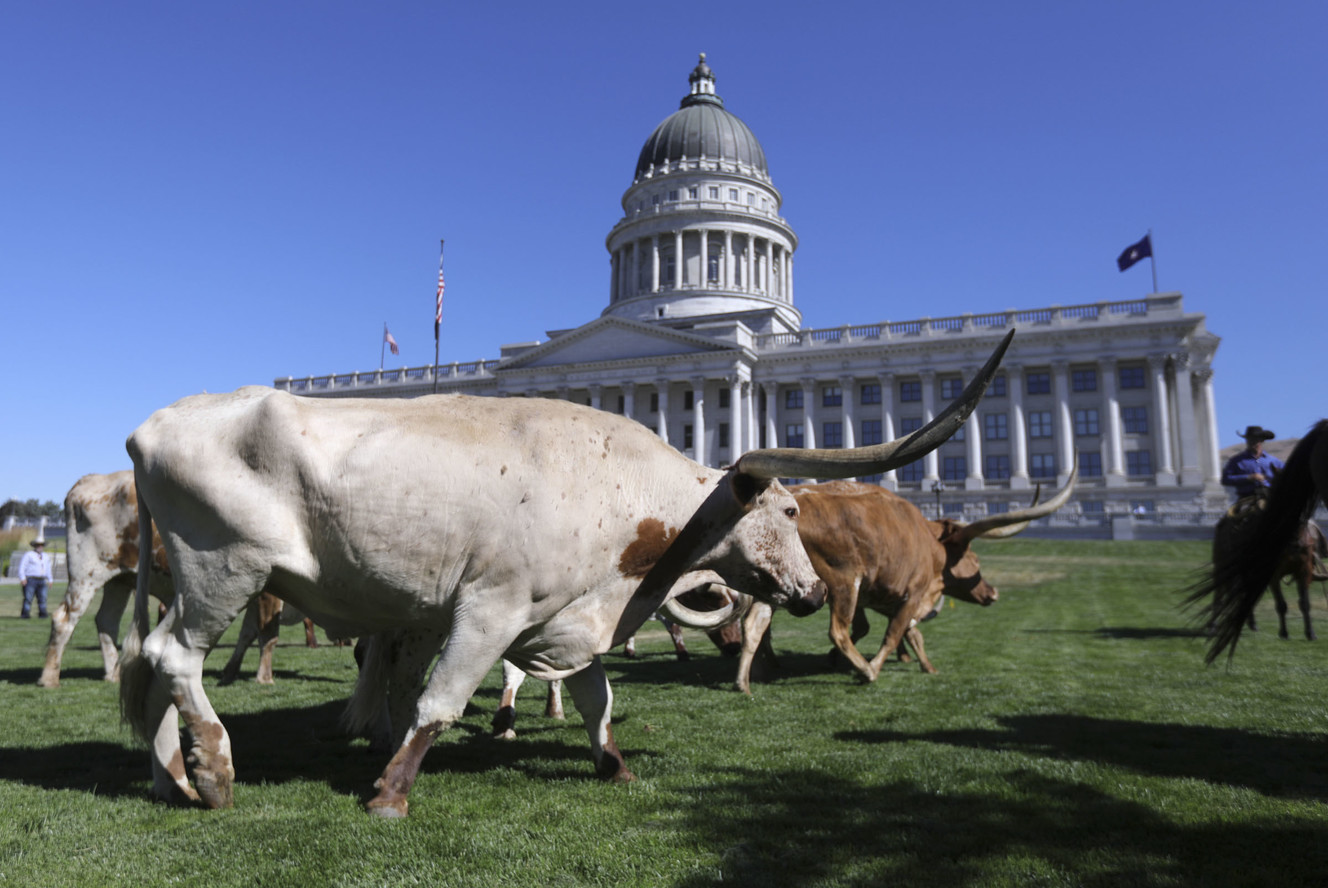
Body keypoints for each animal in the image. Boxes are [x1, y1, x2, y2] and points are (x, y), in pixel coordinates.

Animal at [41, 471, 313, 689]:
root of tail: (92, 478)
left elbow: (247, 634)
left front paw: (230, 673)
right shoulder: (270, 592)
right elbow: (268, 636)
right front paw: (264, 678)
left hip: (120, 579)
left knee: (107, 621)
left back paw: (113, 675)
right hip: (85, 574)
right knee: (63, 619)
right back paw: (49, 678)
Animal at [119, 330, 1010, 816]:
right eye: (791, 512)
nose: (816, 591)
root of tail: (152, 424)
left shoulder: (570, 616)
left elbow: (596, 700)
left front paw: (613, 764)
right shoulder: (488, 609)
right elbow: (438, 705)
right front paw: (389, 792)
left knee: (147, 665)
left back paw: (171, 780)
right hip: (224, 571)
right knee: (172, 658)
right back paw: (216, 771)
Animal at [734, 462, 1077, 692]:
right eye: (975, 560)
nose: (993, 593)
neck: (928, 542)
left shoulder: (879, 595)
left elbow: (907, 633)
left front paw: (927, 666)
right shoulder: (911, 593)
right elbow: (894, 633)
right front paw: (872, 666)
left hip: (783, 587)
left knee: (754, 626)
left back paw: (744, 681)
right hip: (841, 582)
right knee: (837, 631)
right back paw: (866, 671)